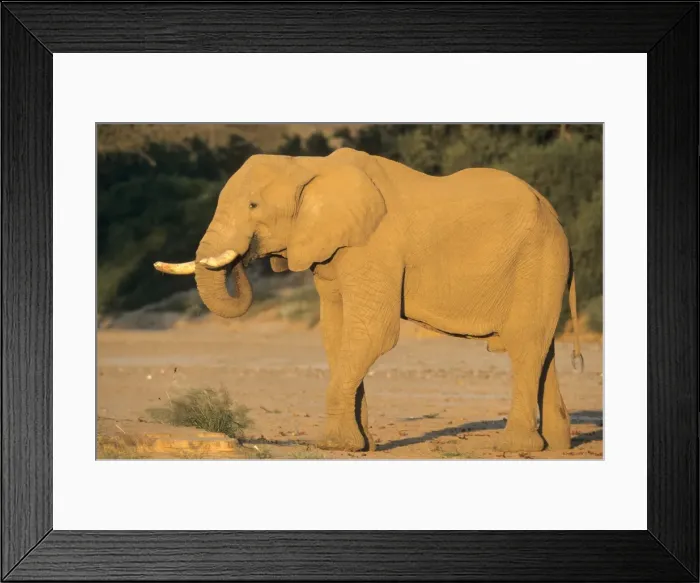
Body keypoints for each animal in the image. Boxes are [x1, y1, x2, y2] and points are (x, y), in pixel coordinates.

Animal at [154, 147, 584, 453]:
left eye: (253, 206)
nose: (246, 259)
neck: (310, 168)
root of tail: (557, 217)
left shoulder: (374, 245)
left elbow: (372, 333)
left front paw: (335, 446)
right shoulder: (331, 254)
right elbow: (337, 334)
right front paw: (363, 446)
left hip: (538, 257)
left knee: (526, 343)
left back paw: (514, 447)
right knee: (542, 348)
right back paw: (556, 447)